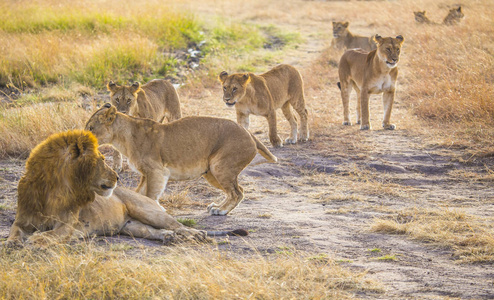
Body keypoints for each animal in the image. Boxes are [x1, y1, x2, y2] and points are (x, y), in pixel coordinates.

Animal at [4, 130, 241, 247]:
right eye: (101, 159)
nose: (118, 176)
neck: (52, 189)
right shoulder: (21, 221)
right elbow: (13, 233)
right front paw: (12, 243)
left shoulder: (67, 226)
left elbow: (49, 234)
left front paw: (35, 240)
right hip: (131, 226)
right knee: (154, 231)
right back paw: (169, 238)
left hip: (147, 210)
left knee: (180, 225)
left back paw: (197, 235)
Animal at [86, 103, 278, 216]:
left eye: (91, 127)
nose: (84, 138)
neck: (123, 139)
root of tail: (249, 134)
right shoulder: (146, 174)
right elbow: (139, 194)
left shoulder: (157, 171)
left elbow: (150, 195)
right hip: (210, 173)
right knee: (239, 190)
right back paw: (217, 207)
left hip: (220, 167)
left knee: (237, 192)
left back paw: (220, 210)